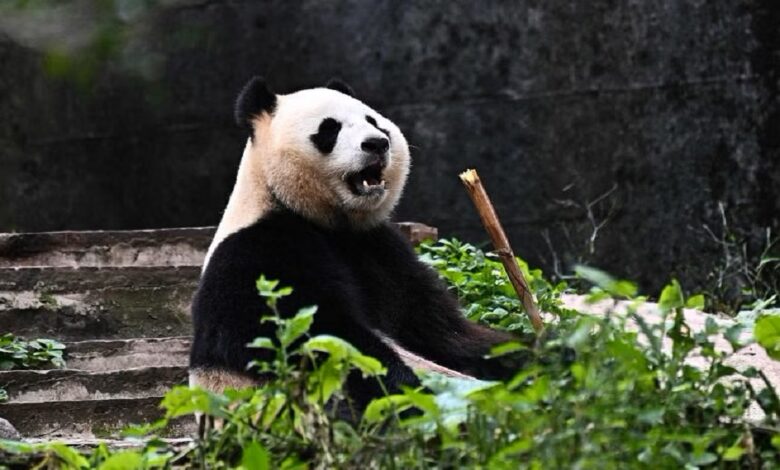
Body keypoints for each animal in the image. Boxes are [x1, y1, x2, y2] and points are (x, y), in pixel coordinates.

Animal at [189, 77, 527, 413]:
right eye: (329, 129)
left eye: (374, 122)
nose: (377, 143)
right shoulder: (260, 252)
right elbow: (317, 338)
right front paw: (414, 391)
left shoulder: (379, 248)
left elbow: (441, 331)